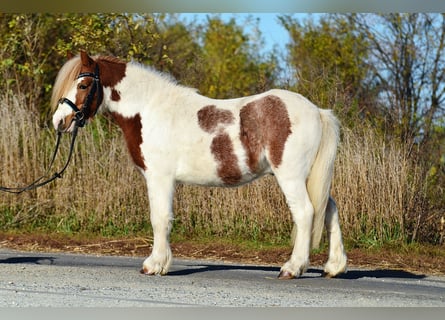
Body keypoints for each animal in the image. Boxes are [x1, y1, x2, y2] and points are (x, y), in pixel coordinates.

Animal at [51, 51, 346, 278]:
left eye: (83, 86)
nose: (59, 122)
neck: (149, 110)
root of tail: (318, 112)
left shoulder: (159, 177)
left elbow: (159, 218)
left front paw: (154, 265)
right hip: (310, 177)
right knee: (329, 209)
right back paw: (334, 267)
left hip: (291, 177)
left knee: (305, 212)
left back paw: (292, 268)